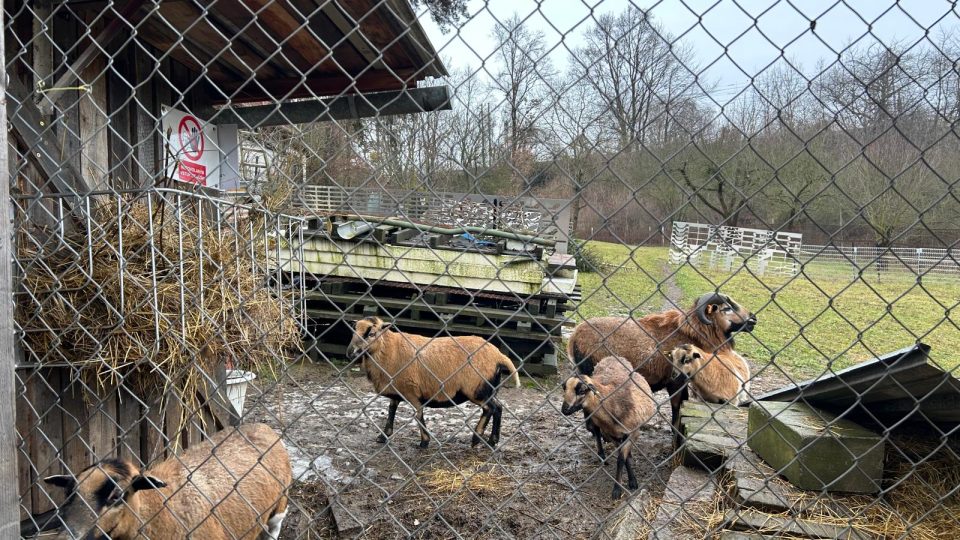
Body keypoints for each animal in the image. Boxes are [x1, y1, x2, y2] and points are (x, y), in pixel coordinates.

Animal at [348, 314, 520, 450]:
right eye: (354, 330)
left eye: (371, 333)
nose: (351, 353)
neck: (389, 349)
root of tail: (499, 356)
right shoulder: (396, 391)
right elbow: (391, 410)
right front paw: (383, 436)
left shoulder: (411, 392)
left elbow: (418, 415)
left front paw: (424, 442)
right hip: (488, 389)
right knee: (498, 408)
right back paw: (492, 441)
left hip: (476, 389)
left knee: (490, 409)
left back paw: (476, 438)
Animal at [560, 356, 656, 500]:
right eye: (564, 389)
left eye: (582, 391)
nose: (564, 410)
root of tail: (612, 356)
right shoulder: (611, 433)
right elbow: (623, 457)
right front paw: (627, 481)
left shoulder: (632, 433)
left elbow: (621, 459)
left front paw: (621, 488)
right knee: (596, 431)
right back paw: (601, 455)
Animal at [564, 294, 756, 428]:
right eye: (727, 308)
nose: (753, 319)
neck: (692, 333)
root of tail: (574, 337)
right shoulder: (675, 381)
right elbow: (677, 406)